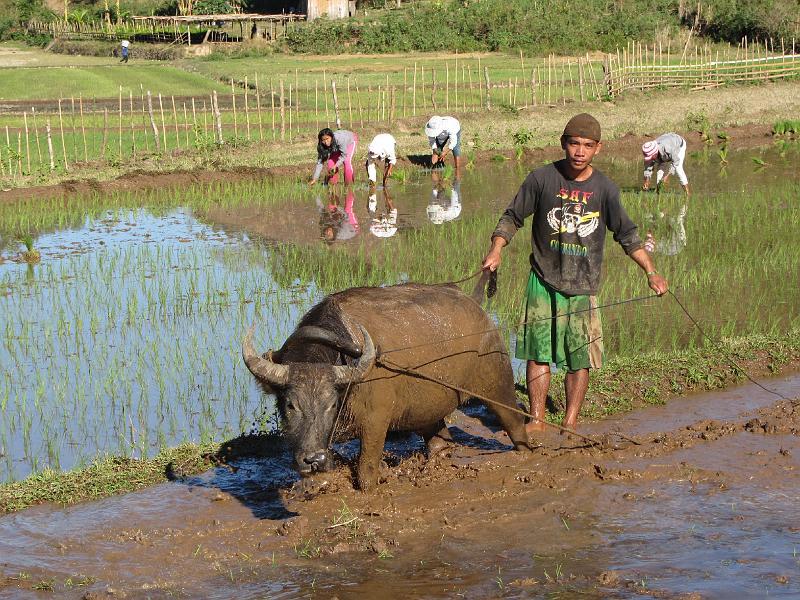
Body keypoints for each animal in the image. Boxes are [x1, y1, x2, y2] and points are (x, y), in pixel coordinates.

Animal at [244, 284, 532, 490]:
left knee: (514, 422)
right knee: (439, 441)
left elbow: (366, 472)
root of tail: (481, 313)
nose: (314, 460)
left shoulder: (376, 421)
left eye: (331, 404)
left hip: (497, 384)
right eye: (290, 405)